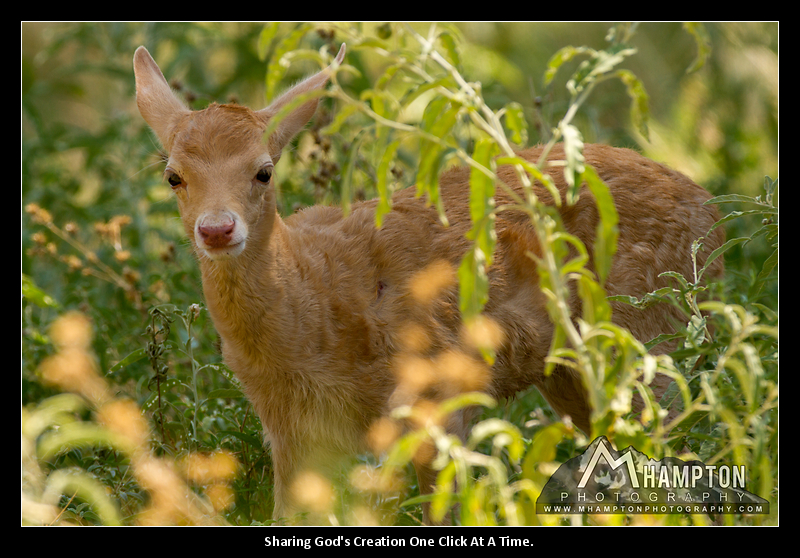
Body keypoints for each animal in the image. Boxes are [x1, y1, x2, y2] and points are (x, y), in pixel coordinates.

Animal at [133, 43, 724, 524]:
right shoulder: (290, 429)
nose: (217, 229)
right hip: (574, 371)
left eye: (264, 171)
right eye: (173, 176)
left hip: (654, 335)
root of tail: (714, 213)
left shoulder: (440, 391)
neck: (315, 305)